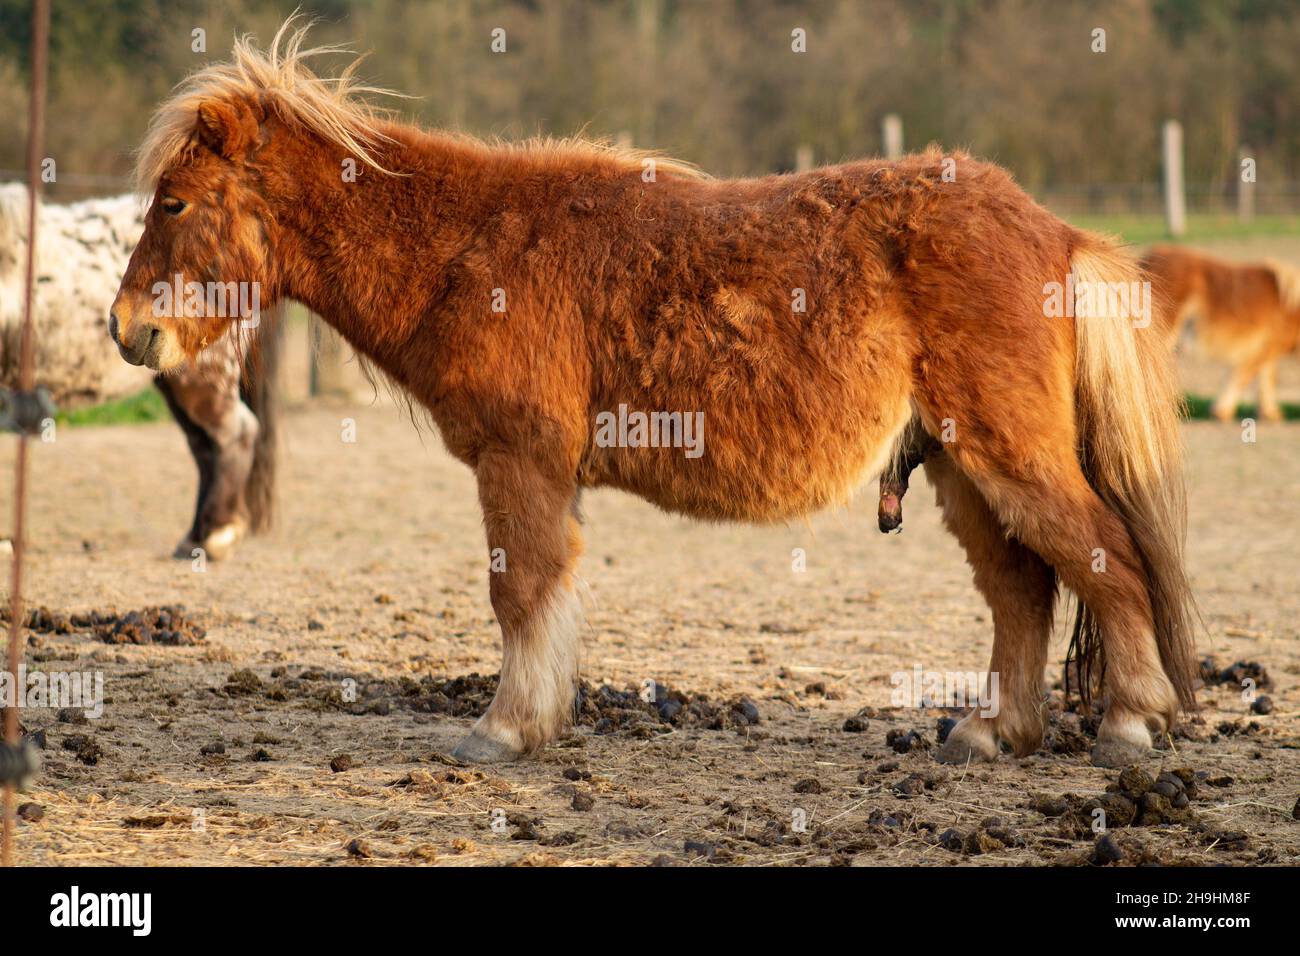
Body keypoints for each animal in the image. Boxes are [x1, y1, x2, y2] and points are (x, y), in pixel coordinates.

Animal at [109, 19, 1196, 769]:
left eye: (175, 202)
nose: (128, 329)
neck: (469, 249)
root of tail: (1051, 229)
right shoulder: (543, 474)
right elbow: (544, 593)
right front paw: (538, 719)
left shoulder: (517, 463)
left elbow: (520, 591)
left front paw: (502, 730)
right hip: (963, 471)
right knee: (1023, 589)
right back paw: (992, 731)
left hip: (1005, 458)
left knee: (1103, 557)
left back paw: (1130, 720)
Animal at [1142, 245, 1300, 423]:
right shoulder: (1262, 350)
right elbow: (1243, 378)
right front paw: (1222, 412)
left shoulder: (1266, 351)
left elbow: (1266, 379)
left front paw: (1269, 413)